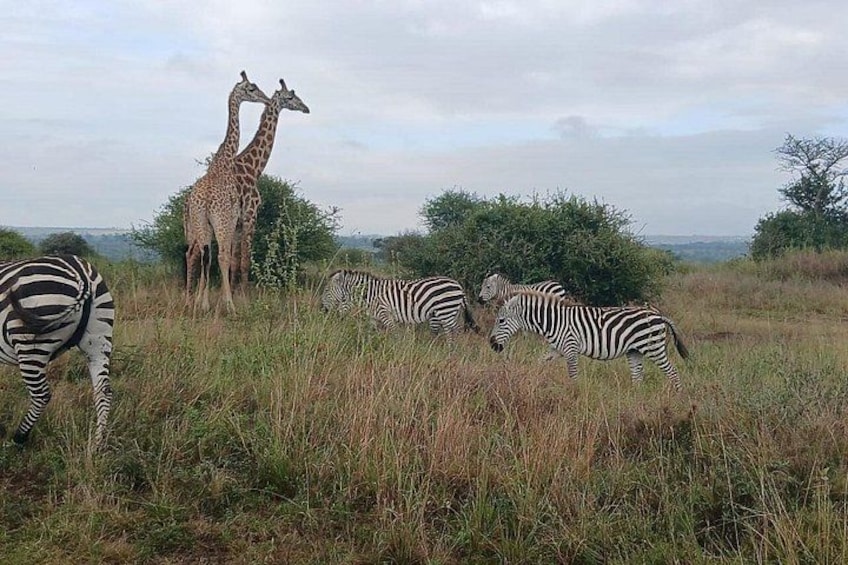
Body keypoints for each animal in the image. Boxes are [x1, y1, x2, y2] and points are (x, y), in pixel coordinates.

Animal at [0, 255, 114, 447]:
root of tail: (81, 273)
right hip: (99, 340)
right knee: (103, 392)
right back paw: (97, 444)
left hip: (31, 343)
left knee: (41, 395)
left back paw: (19, 439)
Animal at [321, 269, 479, 335]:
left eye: (326, 290)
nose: (323, 310)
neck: (370, 295)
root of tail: (458, 285)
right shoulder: (374, 317)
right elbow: (371, 333)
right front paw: (369, 347)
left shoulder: (385, 314)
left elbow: (395, 334)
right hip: (449, 312)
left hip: (446, 311)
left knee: (455, 331)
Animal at [489, 290, 688, 391]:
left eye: (501, 321)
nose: (492, 345)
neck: (553, 322)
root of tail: (659, 315)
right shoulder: (557, 349)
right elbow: (539, 362)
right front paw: (531, 378)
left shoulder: (570, 348)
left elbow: (573, 375)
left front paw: (575, 395)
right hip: (634, 351)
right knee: (638, 377)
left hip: (653, 348)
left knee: (673, 372)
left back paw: (677, 397)